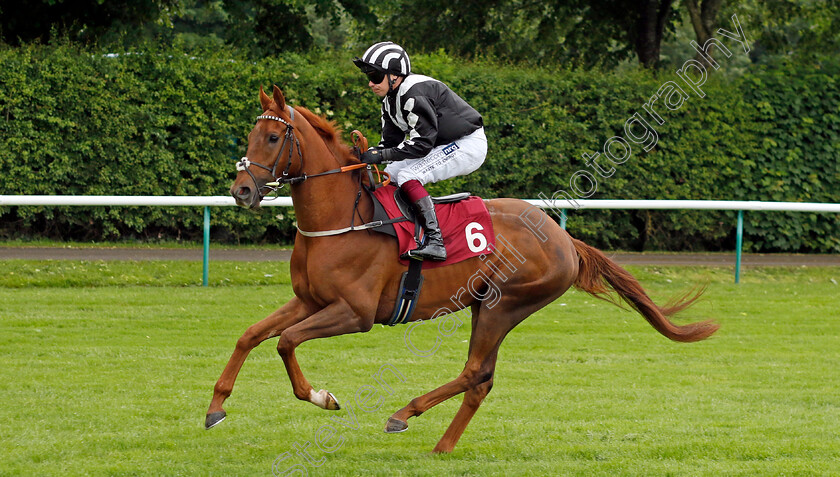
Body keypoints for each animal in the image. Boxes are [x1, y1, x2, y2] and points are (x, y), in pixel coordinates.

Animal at [203, 85, 716, 454]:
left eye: (273, 138)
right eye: (250, 137)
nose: (242, 190)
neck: (344, 218)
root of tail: (563, 238)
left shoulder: (355, 313)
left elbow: (286, 342)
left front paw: (321, 397)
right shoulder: (310, 299)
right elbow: (250, 335)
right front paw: (215, 407)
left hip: (503, 304)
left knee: (474, 372)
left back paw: (404, 413)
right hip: (485, 305)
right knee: (482, 380)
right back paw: (443, 446)